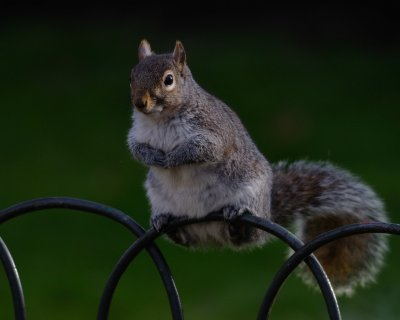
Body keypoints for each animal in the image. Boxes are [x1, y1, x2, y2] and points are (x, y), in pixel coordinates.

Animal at [127, 40, 388, 298]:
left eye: (168, 80)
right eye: (132, 77)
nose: (140, 103)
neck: (160, 119)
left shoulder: (213, 131)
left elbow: (203, 149)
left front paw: (172, 158)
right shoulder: (137, 134)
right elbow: (136, 148)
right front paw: (152, 156)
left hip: (251, 193)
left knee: (248, 237)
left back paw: (236, 219)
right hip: (163, 201)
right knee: (186, 239)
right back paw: (164, 219)